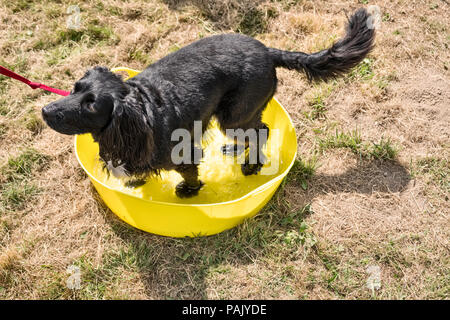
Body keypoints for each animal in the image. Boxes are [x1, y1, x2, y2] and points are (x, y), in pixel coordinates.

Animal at [42, 7, 374, 198]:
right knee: (253, 132)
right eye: (75, 88)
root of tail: (268, 50)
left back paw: (251, 165)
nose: (45, 110)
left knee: (262, 131)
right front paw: (136, 182)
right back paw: (235, 150)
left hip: (234, 114)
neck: (142, 110)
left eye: (91, 106)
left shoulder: (184, 153)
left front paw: (188, 191)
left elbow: (190, 173)